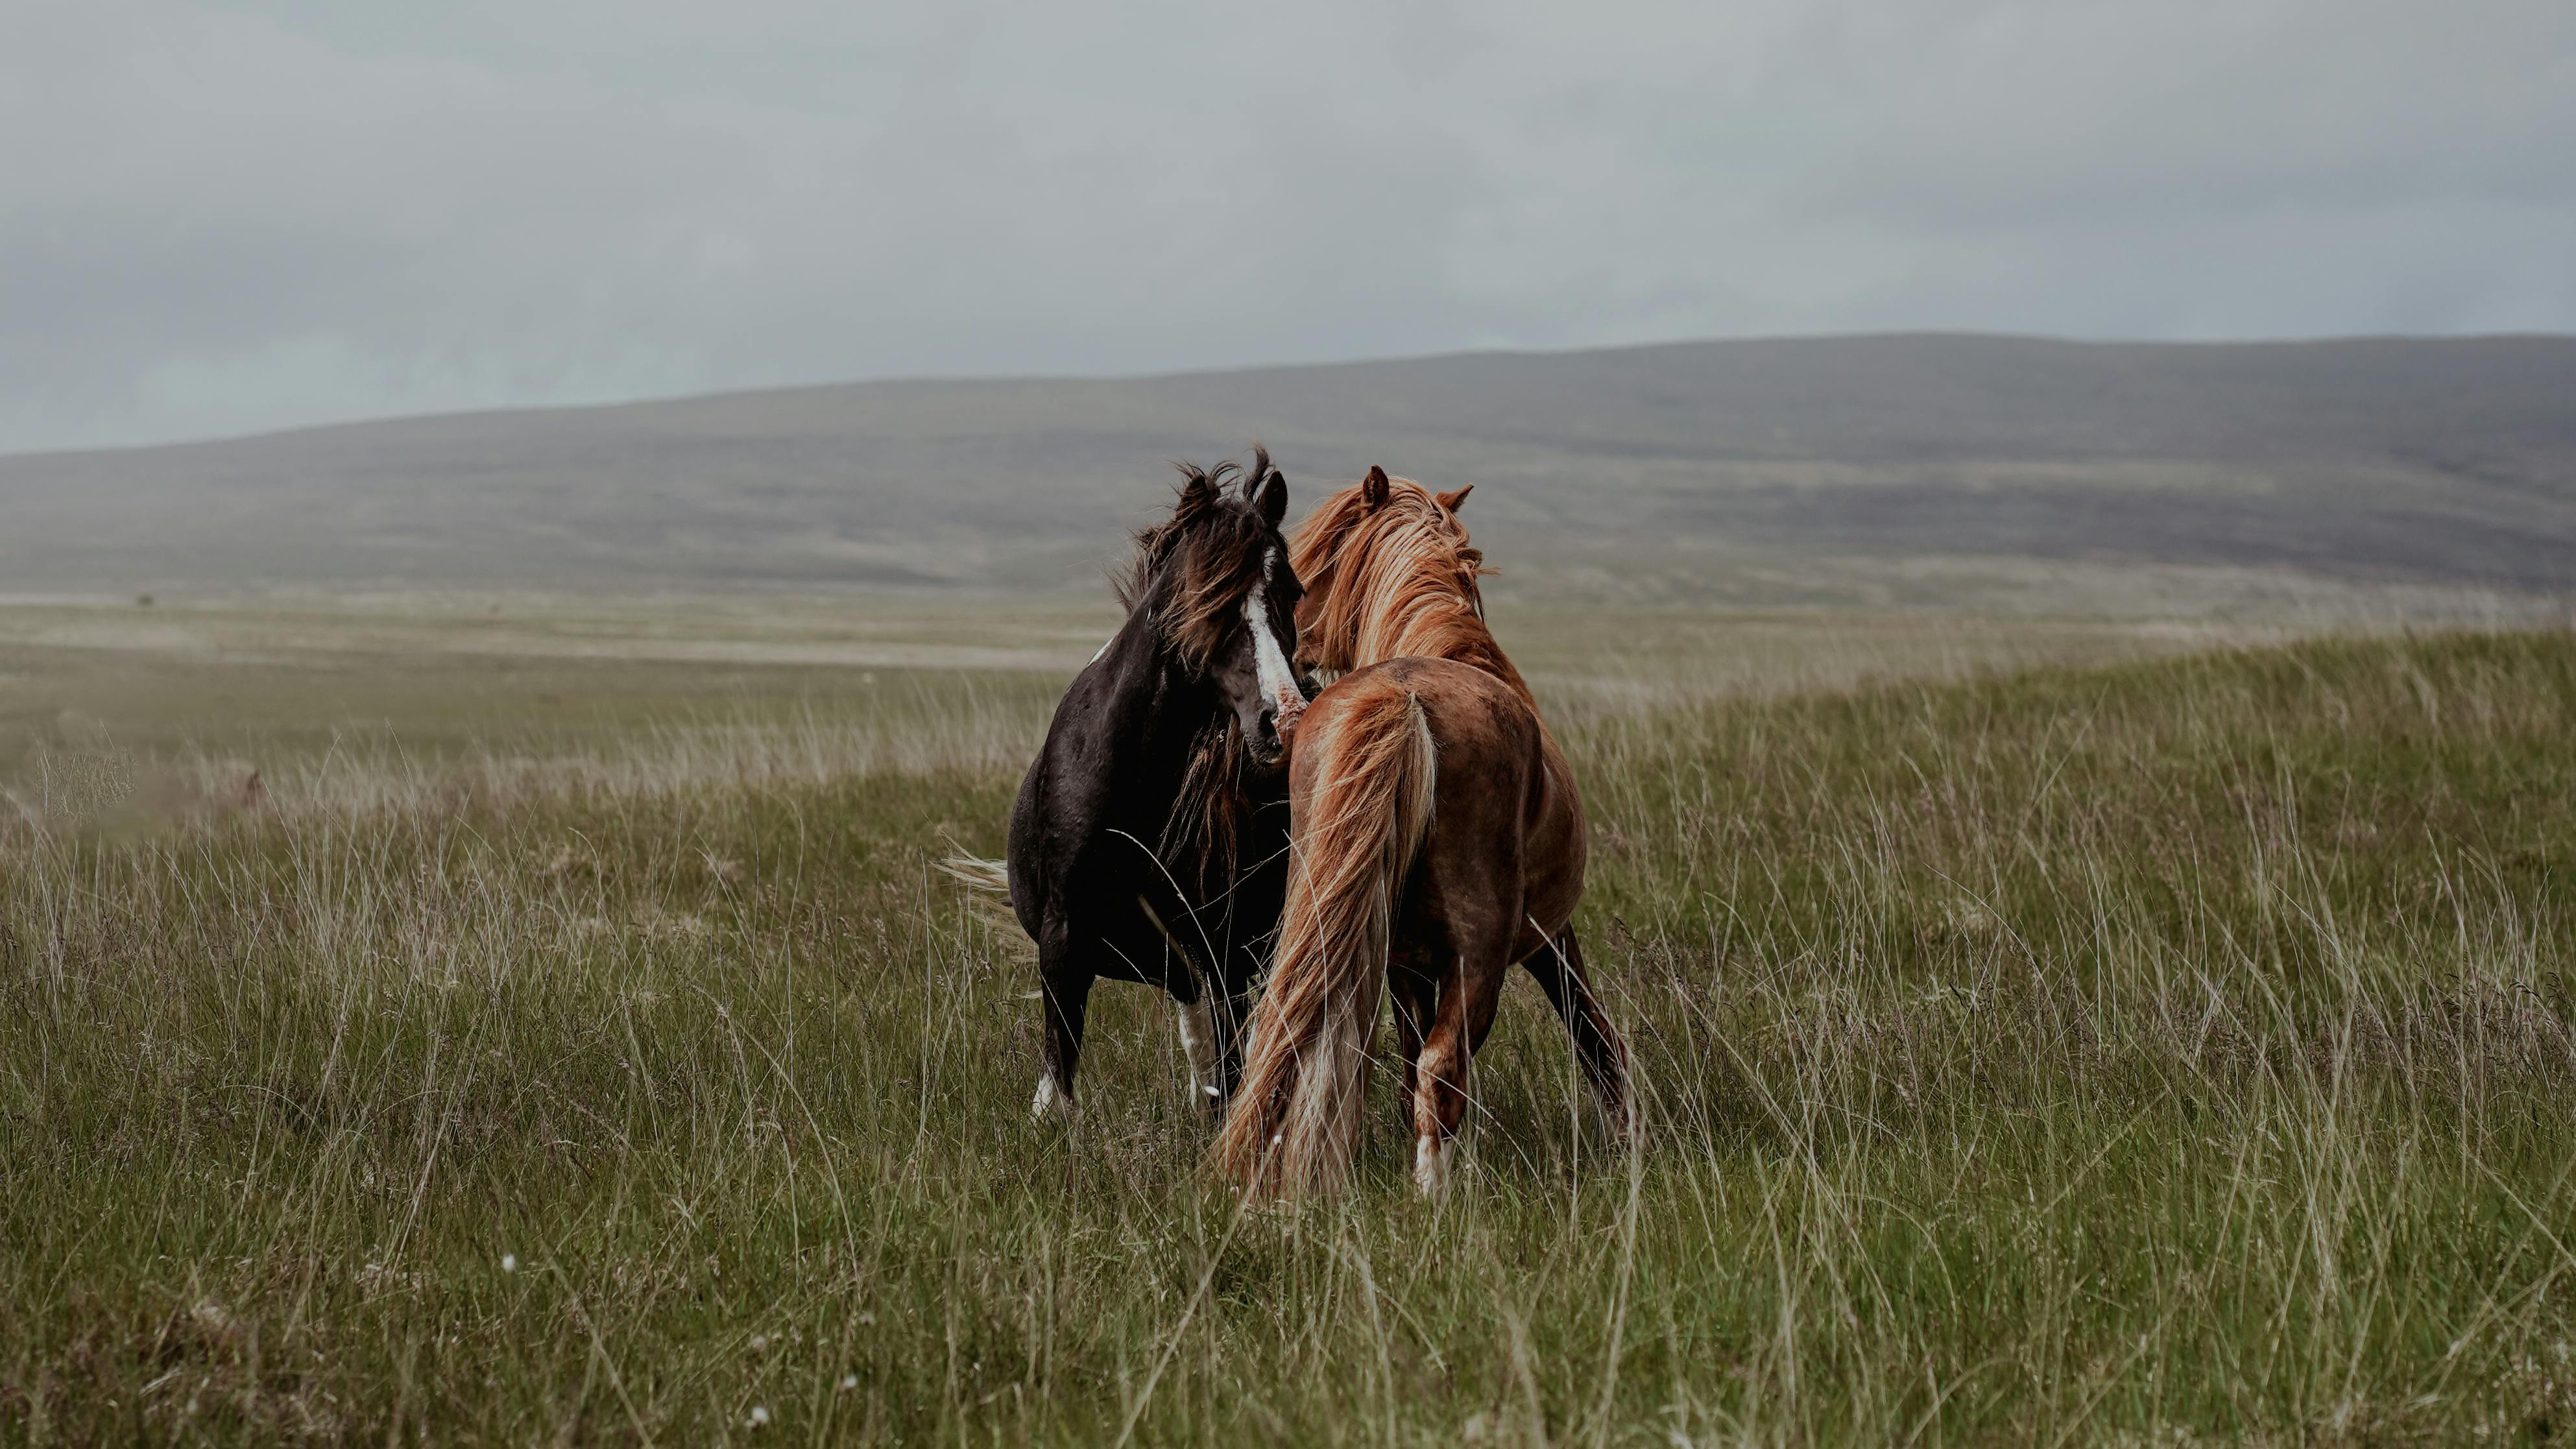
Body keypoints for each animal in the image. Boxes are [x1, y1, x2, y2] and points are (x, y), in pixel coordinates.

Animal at [990, 451, 1310, 1120]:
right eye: (1200, 596)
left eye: (1292, 591)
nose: (1284, 719)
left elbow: (1232, 1056)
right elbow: (1058, 1071)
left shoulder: (1223, 940)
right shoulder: (1067, 934)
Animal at [1213, 466, 1631, 1197]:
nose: (1298, 657)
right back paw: (1433, 1194)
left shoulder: (1404, 962)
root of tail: (1402, 700)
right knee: (1444, 1070)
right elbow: (1588, 1027)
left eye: (1309, 568)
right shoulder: (1546, 935)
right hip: (1480, 954)